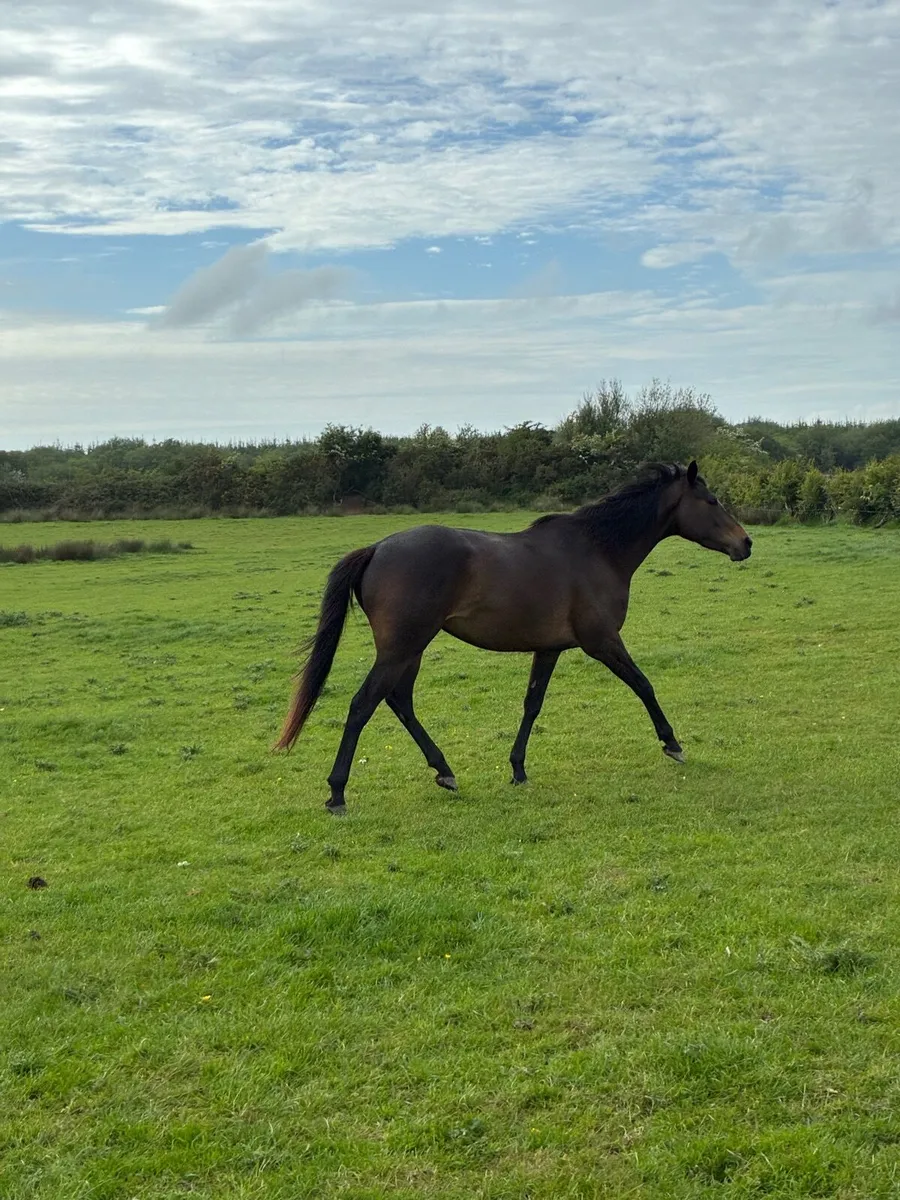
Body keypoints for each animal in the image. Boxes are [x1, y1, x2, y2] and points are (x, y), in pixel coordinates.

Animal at [275, 461, 752, 812]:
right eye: (712, 500)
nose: (745, 543)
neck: (598, 550)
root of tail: (376, 548)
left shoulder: (550, 648)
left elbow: (532, 704)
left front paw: (518, 768)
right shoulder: (602, 642)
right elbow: (643, 684)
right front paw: (672, 743)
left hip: (410, 649)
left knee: (399, 700)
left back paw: (443, 770)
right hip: (402, 647)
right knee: (363, 705)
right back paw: (338, 792)